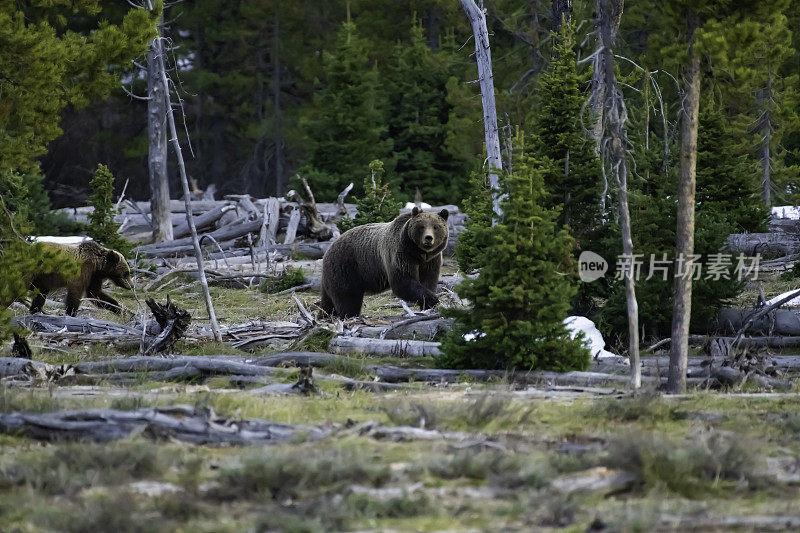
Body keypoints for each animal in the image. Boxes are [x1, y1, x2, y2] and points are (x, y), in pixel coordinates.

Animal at [320, 207, 450, 316]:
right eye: (421, 226)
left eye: (436, 227)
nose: (428, 238)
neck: (419, 253)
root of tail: (328, 250)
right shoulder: (401, 253)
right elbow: (403, 281)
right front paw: (432, 299)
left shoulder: (431, 260)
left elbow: (428, 280)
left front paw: (427, 304)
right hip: (346, 266)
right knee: (348, 297)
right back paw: (350, 315)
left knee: (328, 300)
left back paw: (325, 314)